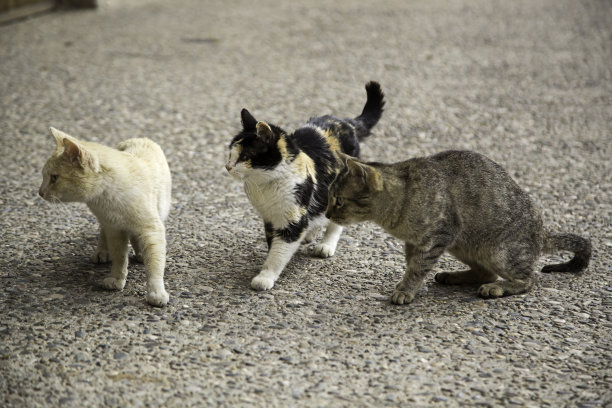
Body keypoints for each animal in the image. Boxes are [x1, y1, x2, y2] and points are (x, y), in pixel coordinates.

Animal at [38, 127, 172, 306]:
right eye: (46, 176)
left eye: (54, 177)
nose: (40, 192)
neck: (108, 198)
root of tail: (136, 138)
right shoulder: (114, 228)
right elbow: (119, 257)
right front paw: (117, 278)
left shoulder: (151, 228)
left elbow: (155, 264)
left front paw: (156, 292)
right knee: (103, 232)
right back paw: (102, 251)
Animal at [227, 80, 384, 290]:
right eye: (230, 153)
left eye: (245, 157)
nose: (228, 166)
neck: (265, 184)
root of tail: (346, 122)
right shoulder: (270, 216)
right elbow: (272, 242)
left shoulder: (292, 216)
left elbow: (279, 250)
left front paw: (266, 276)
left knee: (335, 220)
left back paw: (326, 245)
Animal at [328, 150, 592, 302]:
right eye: (330, 196)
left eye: (338, 200)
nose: (328, 214)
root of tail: (542, 233)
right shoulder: (415, 241)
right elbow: (413, 263)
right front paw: (409, 284)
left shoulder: (439, 235)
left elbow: (417, 267)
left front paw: (406, 289)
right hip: (462, 245)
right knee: (485, 272)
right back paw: (453, 276)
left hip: (500, 251)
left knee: (528, 279)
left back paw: (498, 287)